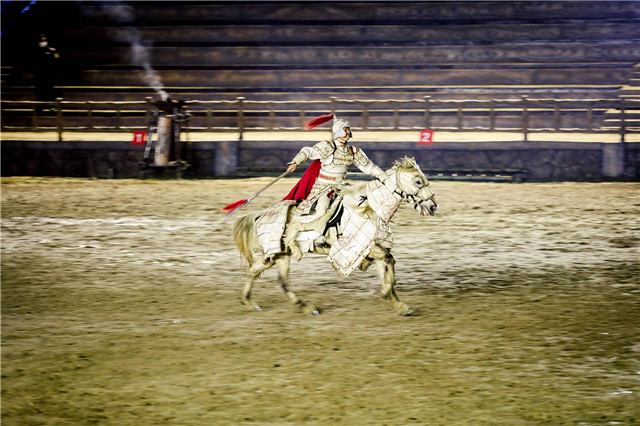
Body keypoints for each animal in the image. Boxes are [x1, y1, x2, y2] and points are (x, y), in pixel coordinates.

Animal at [232, 156, 438, 316]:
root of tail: (260, 215)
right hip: (276, 253)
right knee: (269, 276)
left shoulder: (372, 247)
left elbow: (388, 268)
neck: (369, 209)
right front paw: (386, 292)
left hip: (280, 254)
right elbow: (389, 262)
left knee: (269, 276)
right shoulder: (364, 249)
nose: (433, 206)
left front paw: (400, 305)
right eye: (418, 181)